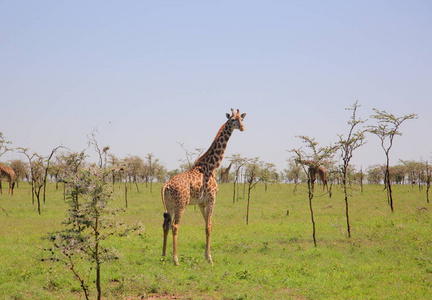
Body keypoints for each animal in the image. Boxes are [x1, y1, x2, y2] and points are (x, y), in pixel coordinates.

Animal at [161, 108, 246, 264]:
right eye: (232, 120)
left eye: (241, 119)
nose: (242, 128)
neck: (212, 166)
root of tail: (167, 185)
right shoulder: (212, 198)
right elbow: (209, 226)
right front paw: (210, 259)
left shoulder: (201, 203)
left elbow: (207, 225)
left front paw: (207, 257)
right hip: (181, 203)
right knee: (175, 225)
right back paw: (175, 259)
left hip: (169, 204)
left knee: (166, 225)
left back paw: (163, 256)